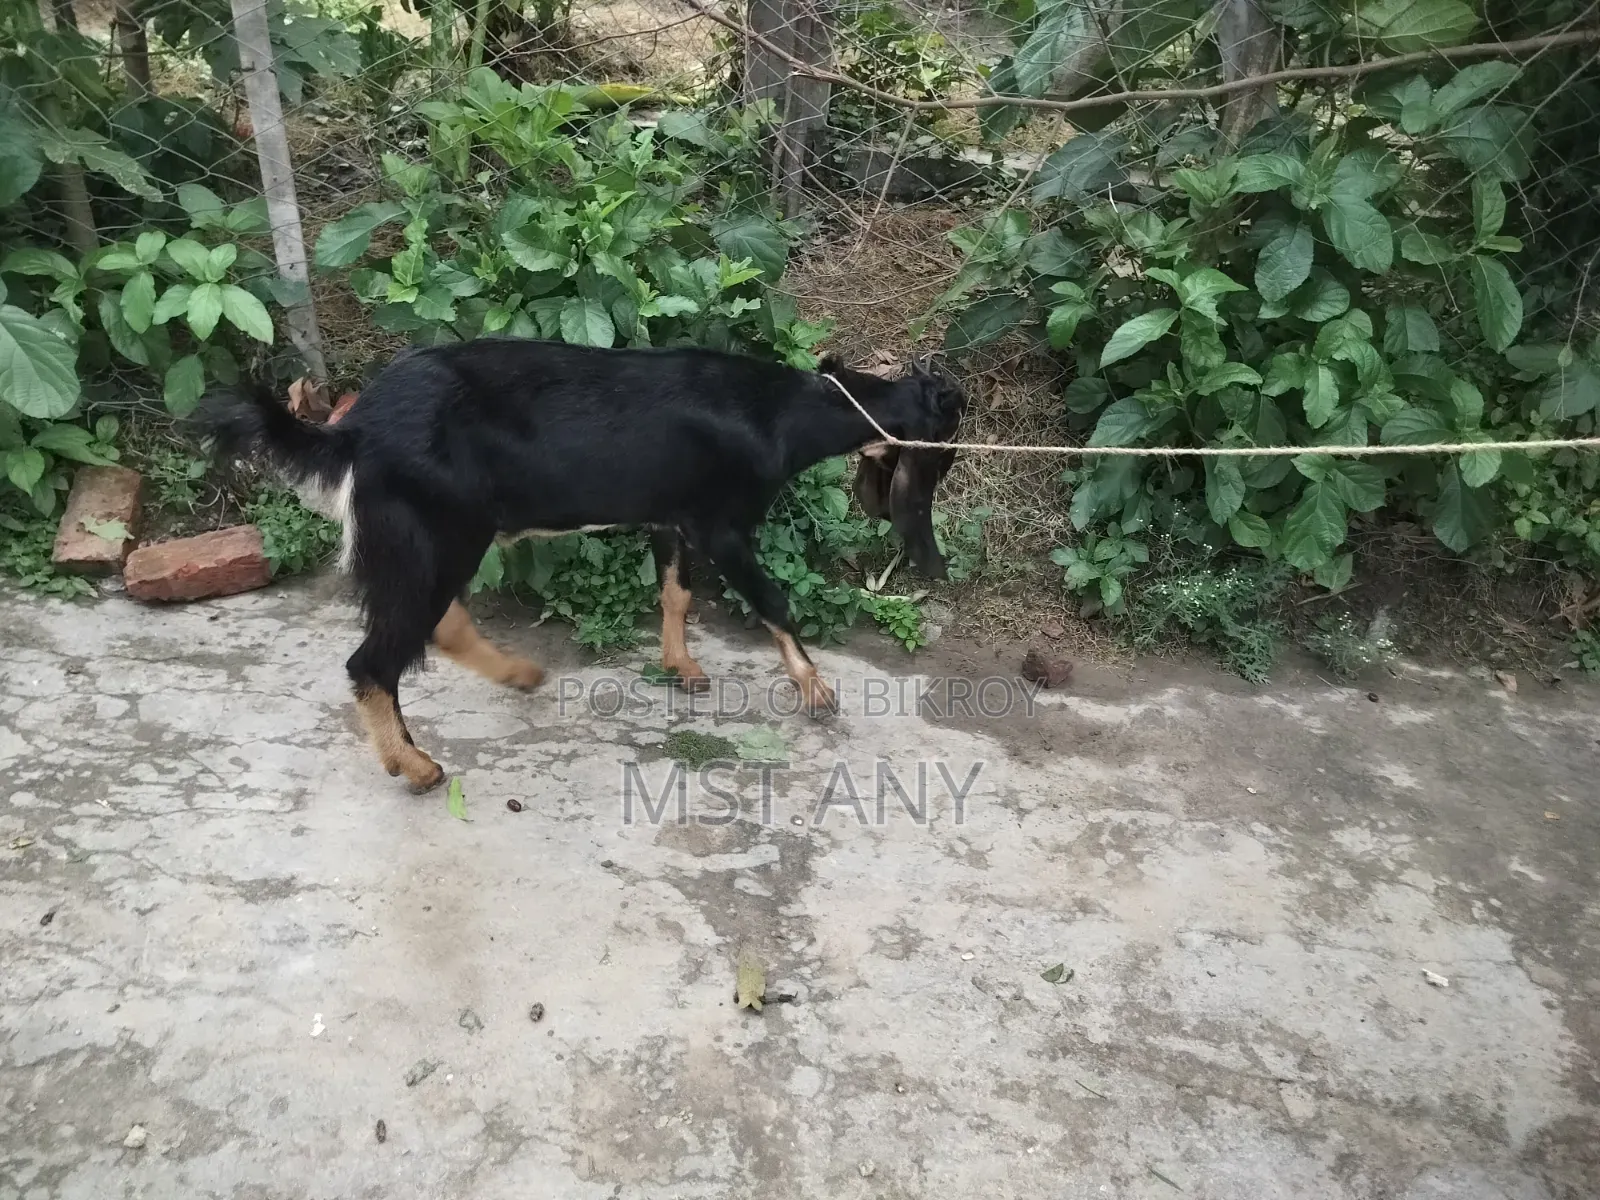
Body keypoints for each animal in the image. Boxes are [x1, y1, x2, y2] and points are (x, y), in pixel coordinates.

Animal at [196, 338, 967, 791]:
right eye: (944, 445)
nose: (932, 559)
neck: (777, 412)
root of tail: (352, 433)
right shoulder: (723, 526)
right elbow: (773, 600)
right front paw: (815, 690)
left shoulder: (672, 517)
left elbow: (676, 594)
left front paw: (681, 667)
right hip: (437, 534)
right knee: (376, 659)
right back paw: (414, 765)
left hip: (438, 539)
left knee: (436, 628)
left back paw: (518, 674)